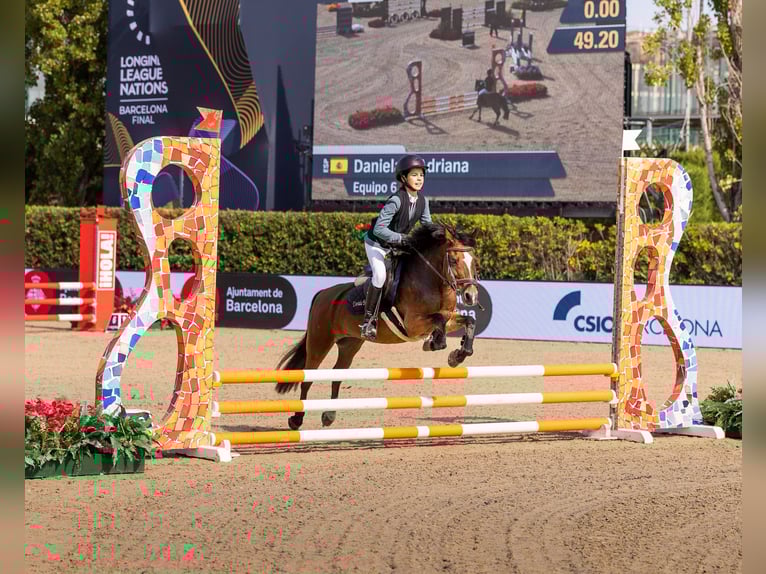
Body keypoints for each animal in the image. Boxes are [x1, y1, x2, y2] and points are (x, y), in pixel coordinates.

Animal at [274, 222, 481, 431]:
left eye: (475, 262)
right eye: (453, 260)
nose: (470, 296)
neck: (432, 282)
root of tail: (323, 293)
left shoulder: (448, 317)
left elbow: (468, 321)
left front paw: (457, 356)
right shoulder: (412, 324)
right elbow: (438, 321)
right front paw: (434, 343)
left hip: (350, 344)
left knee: (337, 374)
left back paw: (329, 415)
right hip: (319, 342)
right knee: (307, 378)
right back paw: (296, 419)